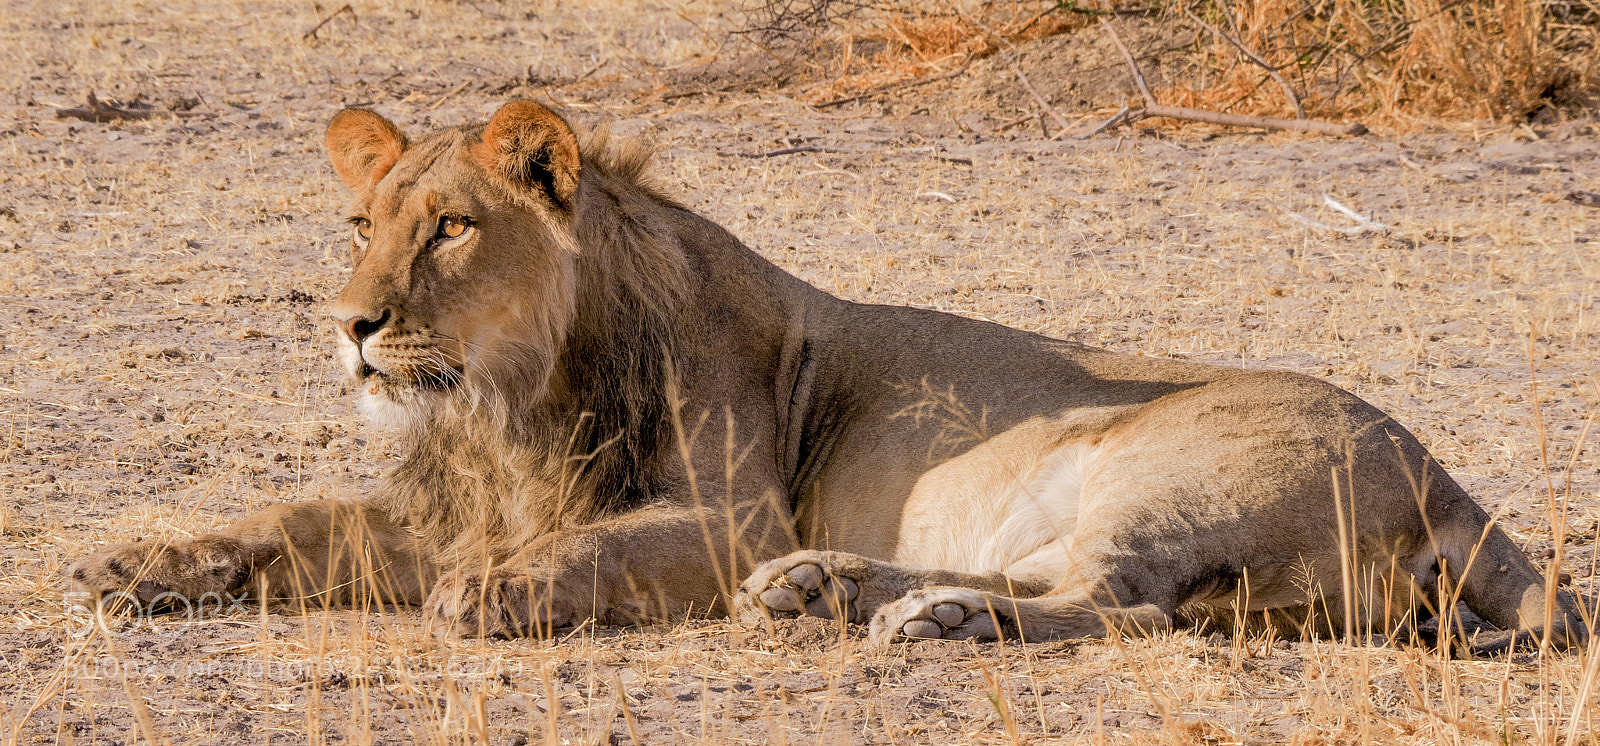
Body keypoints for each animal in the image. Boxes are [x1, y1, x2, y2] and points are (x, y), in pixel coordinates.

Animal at [69, 100, 1588, 654]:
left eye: (452, 226)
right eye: (360, 221)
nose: (353, 323)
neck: (506, 402)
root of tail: (1445, 474)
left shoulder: (726, 512)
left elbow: (588, 545)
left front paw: (500, 592)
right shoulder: (443, 503)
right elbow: (289, 519)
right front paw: (135, 564)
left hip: (1157, 467)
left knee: (1120, 604)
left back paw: (915, 620)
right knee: (1058, 579)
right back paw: (831, 592)